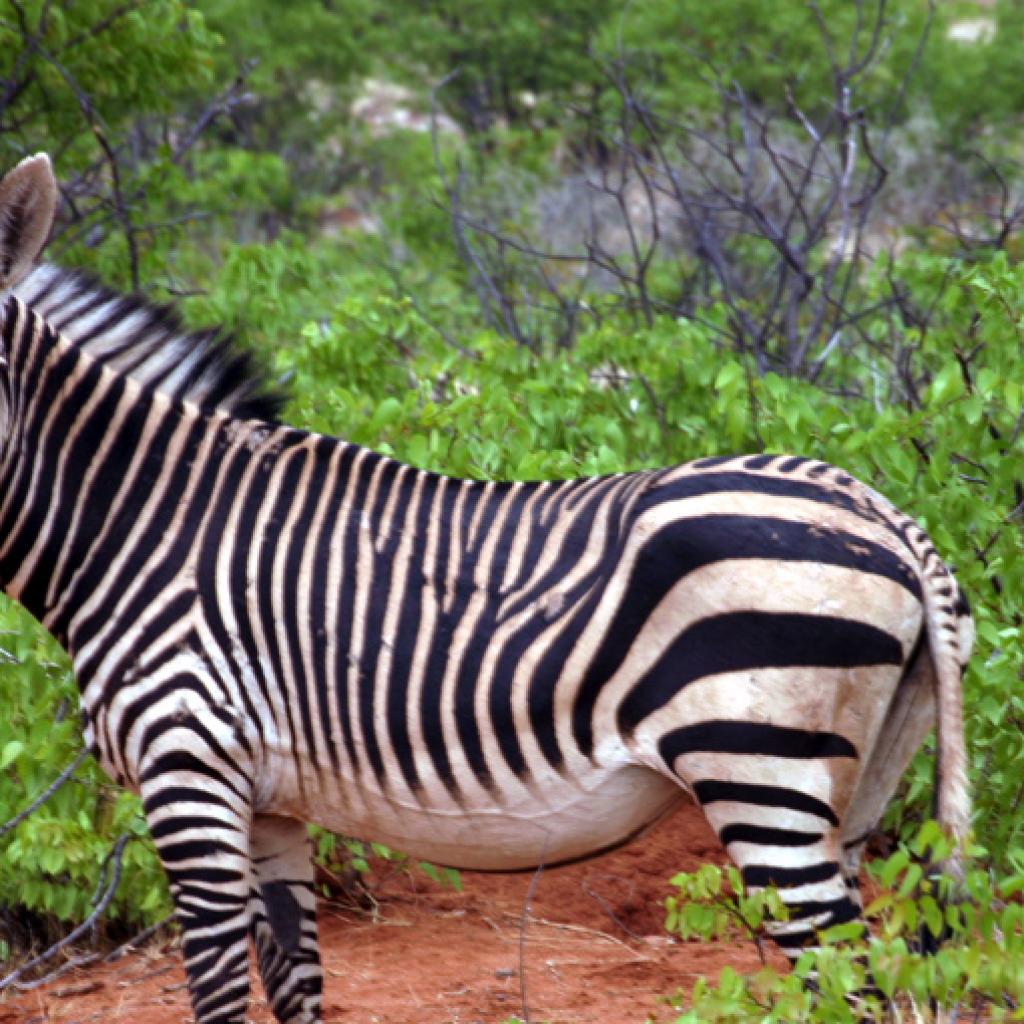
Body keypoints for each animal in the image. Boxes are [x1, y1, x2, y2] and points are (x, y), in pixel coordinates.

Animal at [0, 153, 970, 1024]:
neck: (142, 525)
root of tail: (885, 513)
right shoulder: (266, 800)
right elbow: (295, 989)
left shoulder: (189, 768)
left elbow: (217, 995)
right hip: (858, 783)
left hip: (761, 771)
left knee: (851, 986)